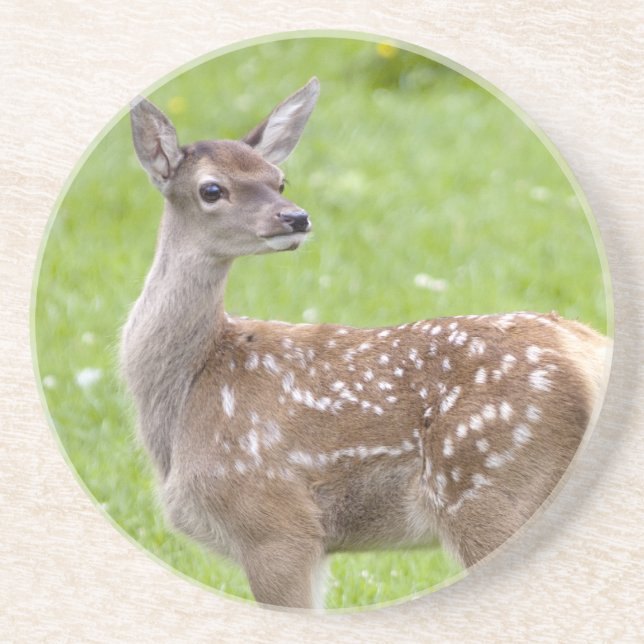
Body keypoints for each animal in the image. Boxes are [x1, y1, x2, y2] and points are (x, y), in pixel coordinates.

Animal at [121, 77, 610, 609]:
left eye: (279, 179)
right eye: (212, 189)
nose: (296, 218)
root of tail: (589, 356)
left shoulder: (273, 520)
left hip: (487, 484)